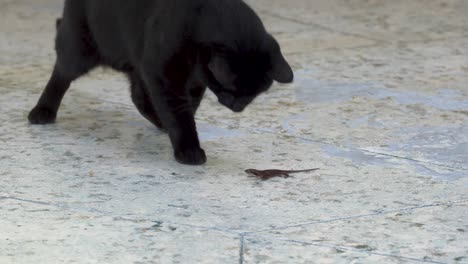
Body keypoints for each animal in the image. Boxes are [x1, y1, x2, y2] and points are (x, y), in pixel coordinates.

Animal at [28, 0, 292, 165]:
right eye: (232, 89)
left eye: (253, 94)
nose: (237, 107)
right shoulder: (165, 75)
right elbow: (179, 112)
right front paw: (189, 149)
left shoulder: (188, 79)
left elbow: (186, 107)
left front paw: (176, 129)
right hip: (81, 45)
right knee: (61, 74)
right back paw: (42, 111)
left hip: (136, 57)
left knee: (137, 95)